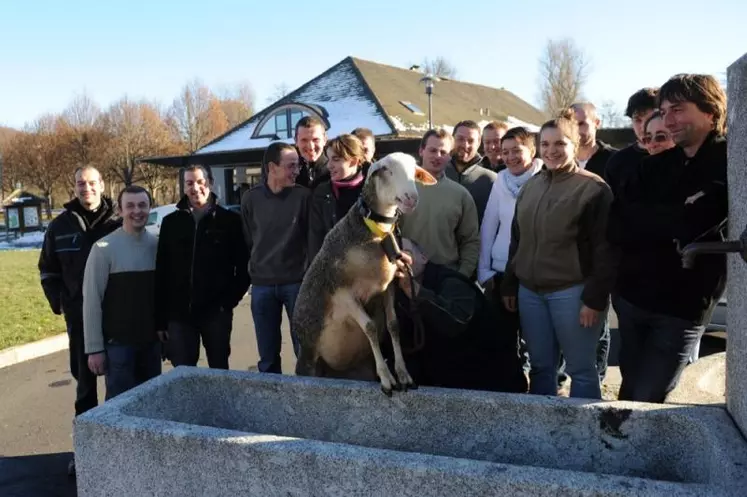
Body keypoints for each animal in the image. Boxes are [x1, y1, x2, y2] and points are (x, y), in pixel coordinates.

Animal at [294, 153, 438, 394]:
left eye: (414, 171)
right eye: (387, 170)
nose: (411, 198)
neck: (374, 233)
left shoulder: (388, 287)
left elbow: (393, 325)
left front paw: (402, 374)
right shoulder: (342, 292)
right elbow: (370, 327)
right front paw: (387, 377)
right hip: (308, 359)